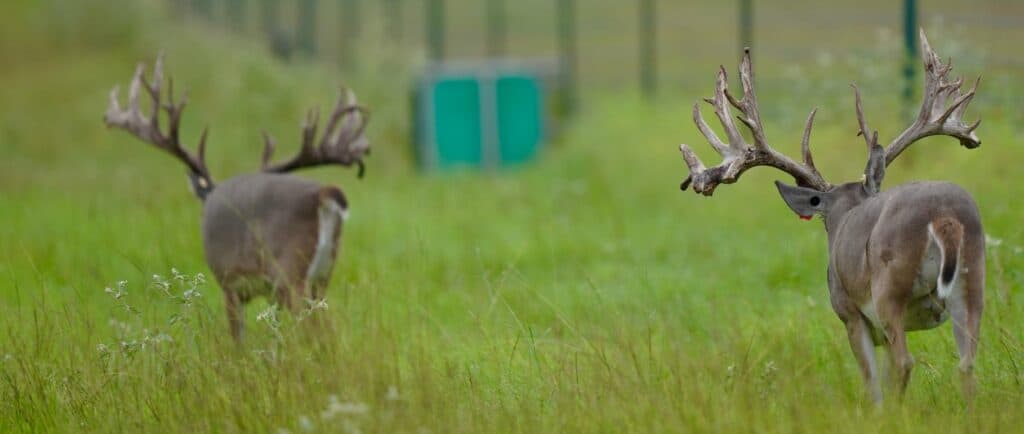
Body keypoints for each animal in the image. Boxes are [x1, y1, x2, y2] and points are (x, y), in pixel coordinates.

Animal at [104, 55, 370, 340]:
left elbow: (237, 338)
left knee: (310, 327)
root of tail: (321, 193)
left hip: (289, 272)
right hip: (322, 275)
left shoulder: (229, 281)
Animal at [676, 30, 984, 403]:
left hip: (889, 288)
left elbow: (872, 382)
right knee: (965, 364)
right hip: (972, 280)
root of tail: (943, 217)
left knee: (905, 363)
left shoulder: (849, 312)